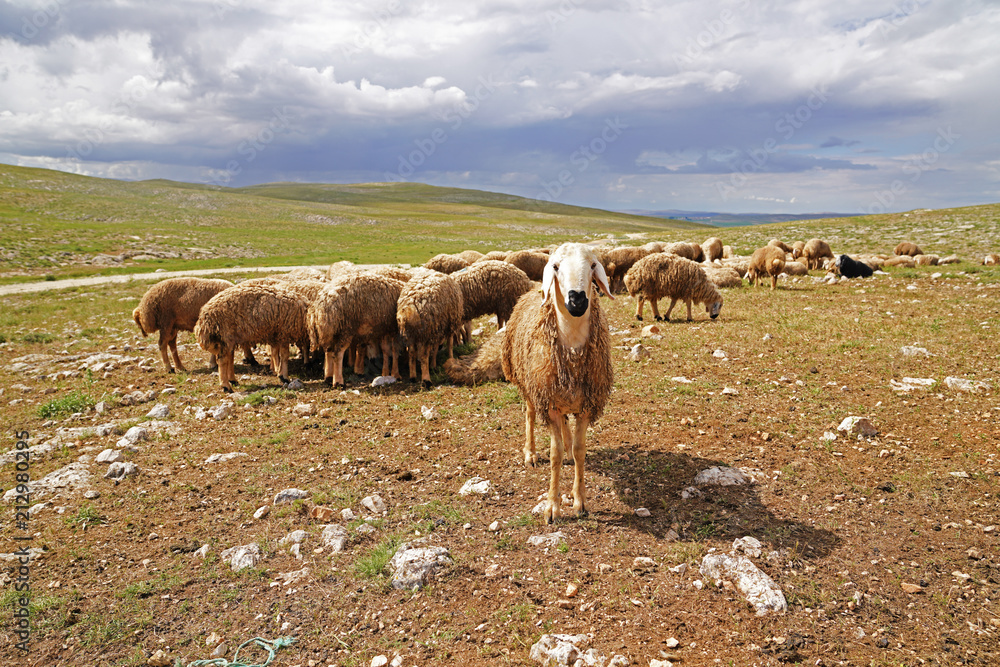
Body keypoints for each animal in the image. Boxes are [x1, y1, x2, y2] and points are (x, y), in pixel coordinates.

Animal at [501, 242, 614, 523]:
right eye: (555, 266)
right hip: (530, 388)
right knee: (530, 415)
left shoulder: (586, 404)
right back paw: (530, 453)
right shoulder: (548, 402)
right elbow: (555, 454)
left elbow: (580, 449)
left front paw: (580, 500)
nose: (577, 300)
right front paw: (552, 506)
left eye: (592, 265)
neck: (572, 347)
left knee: (566, 429)